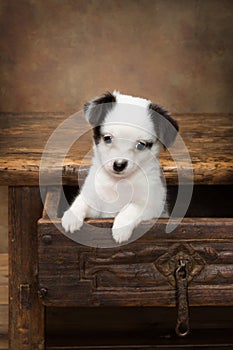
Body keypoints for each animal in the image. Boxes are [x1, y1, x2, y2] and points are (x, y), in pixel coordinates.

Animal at [61, 91, 177, 243]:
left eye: (141, 145)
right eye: (107, 138)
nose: (119, 164)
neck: (117, 183)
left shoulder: (152, 205)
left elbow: (131, 208)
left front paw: (120, 229)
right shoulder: (96, 204)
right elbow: (82, 201)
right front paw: (71, 216)